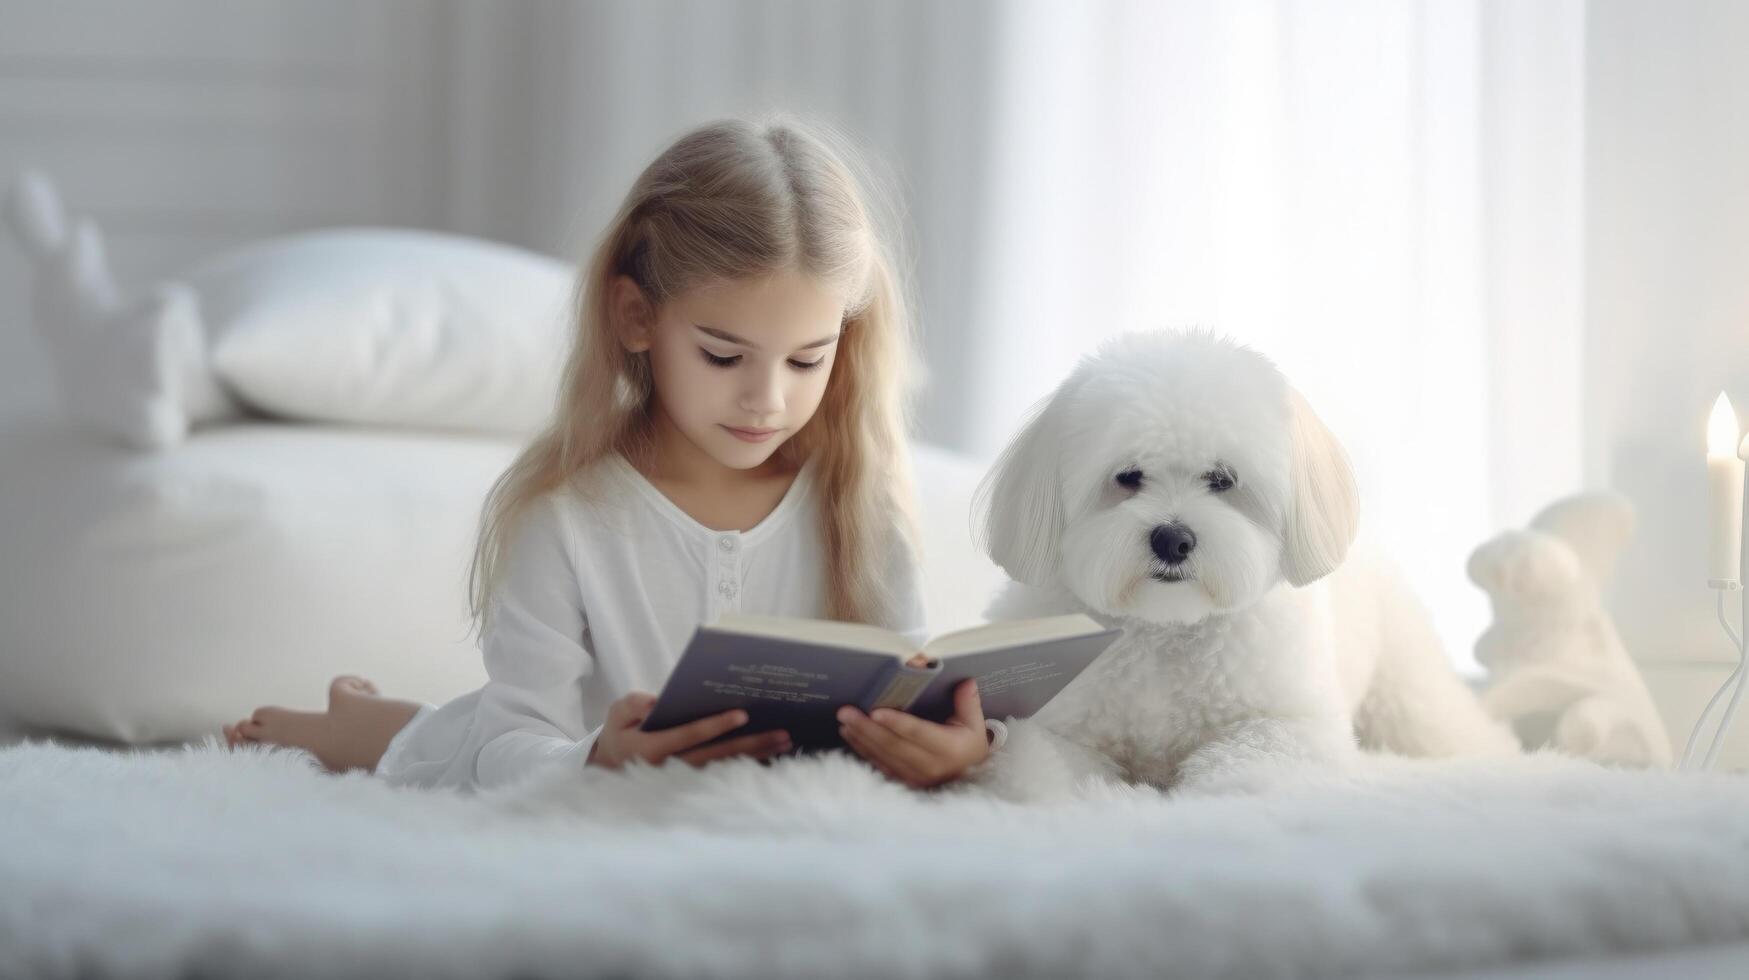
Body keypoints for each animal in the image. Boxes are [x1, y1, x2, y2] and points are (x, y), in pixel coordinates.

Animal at [965, 332, 1525, 801]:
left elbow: (1250, 757)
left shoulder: (1297, 725)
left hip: (1405, 683)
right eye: (1127, 476)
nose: (1173, 539)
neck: (1167, 628)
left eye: (1222, 479)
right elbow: (1039, 761)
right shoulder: (1059, 724)